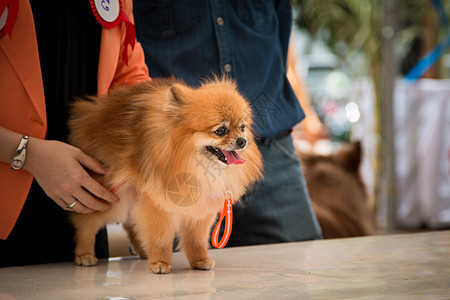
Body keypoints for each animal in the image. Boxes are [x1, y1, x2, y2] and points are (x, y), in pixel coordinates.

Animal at [68, 78, 262, 274]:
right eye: (221, 130)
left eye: (242, 127)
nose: (242, 141)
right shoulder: (157, 204)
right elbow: (160, 237)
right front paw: (160, 263)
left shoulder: (200, 210)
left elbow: (196, 240)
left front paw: (200, 260)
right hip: (106, 195)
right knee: (86, 225)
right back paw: (85, 255)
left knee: (132, 225)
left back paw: (143, 251)